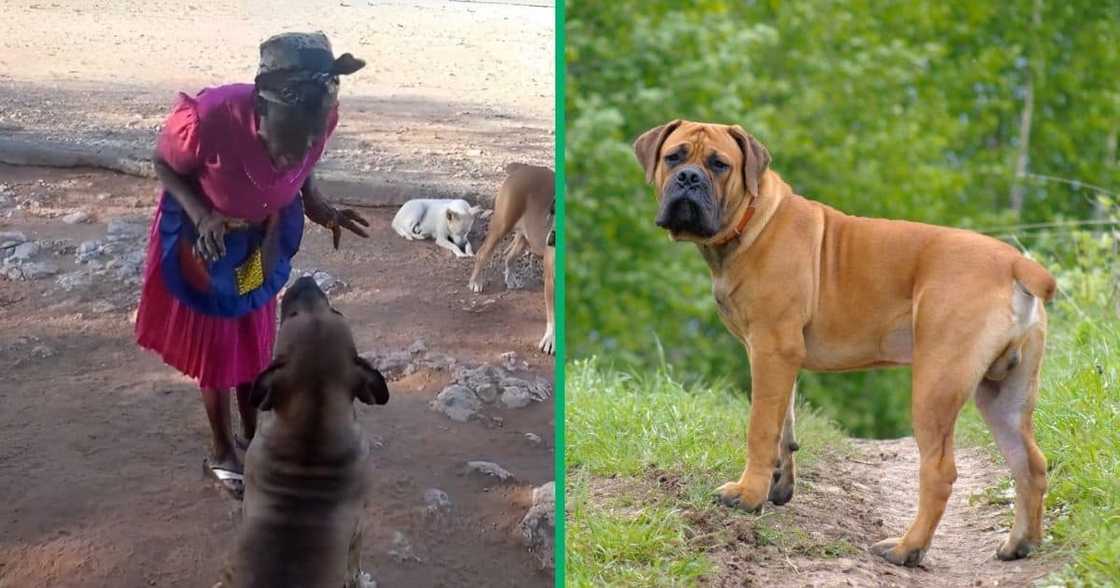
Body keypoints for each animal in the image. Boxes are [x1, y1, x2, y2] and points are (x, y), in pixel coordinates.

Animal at [217, 276, 389, 586]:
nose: (306, 279)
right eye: (293, 315)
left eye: (335, 311)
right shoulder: (359, 529)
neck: (312, 430)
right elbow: (354, 565)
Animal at [468, 160, 555, 353]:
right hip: (501, 224)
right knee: (483, 253)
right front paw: (551, 340)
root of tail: (522, 168)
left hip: (525, 236)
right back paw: (476, 282)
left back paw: (511, 279)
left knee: (509, 255)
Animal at [636, 118, 1052, 564]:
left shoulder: (770, 347)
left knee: (940, 471)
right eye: (673, 156)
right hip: (1003, 393)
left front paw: (748, 494)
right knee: (1030, 463)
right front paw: (779, 484)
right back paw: (1019, 543)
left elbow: (760, 427)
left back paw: (907, 548)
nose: (688, 178)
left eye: (719, 164)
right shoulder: (779, 354)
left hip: (936, 383)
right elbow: (784, 422)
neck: (752, 220)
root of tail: (1015, 263)